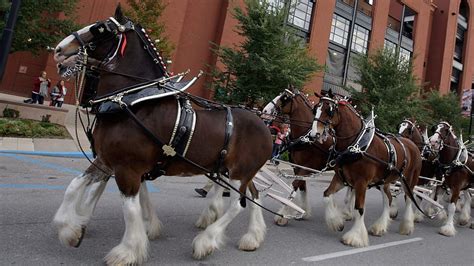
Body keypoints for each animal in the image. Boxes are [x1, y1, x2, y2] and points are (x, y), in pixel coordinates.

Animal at [51, 5, 270, 264]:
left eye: (100, 28)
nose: (59, 49)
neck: (130, 101)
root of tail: (265, 124)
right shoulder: (108, 160)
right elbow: (75, 184)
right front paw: (71, 229)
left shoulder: (127, 168)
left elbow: (130, 209)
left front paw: (128, 250)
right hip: (241, 172)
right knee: (254, 196)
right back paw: (252, 237)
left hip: (239, 172)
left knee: (238, 204)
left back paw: (206, 241)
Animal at [312, 94, 420, 246]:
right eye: (315, 109)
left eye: (329, 110)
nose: (314, 134)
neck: (357, 145)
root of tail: (413, 144)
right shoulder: (341, 178)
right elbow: (327, 194)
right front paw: (336, 223)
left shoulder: (361, 182)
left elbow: (359, 208)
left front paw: (354, 237)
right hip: (384, 181)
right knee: (388, 198)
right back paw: (379, 227)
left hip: (409, 180)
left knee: (409, 199)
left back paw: (407, 226)